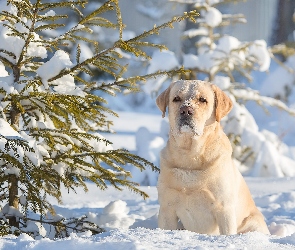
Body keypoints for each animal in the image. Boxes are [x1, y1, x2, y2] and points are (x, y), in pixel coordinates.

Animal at [157, 79, 270, 234]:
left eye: (202, 99)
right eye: (176, 98)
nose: (186, 110)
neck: (190, 156)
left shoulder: (224, 208)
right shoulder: (167, 208)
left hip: (252, 223)